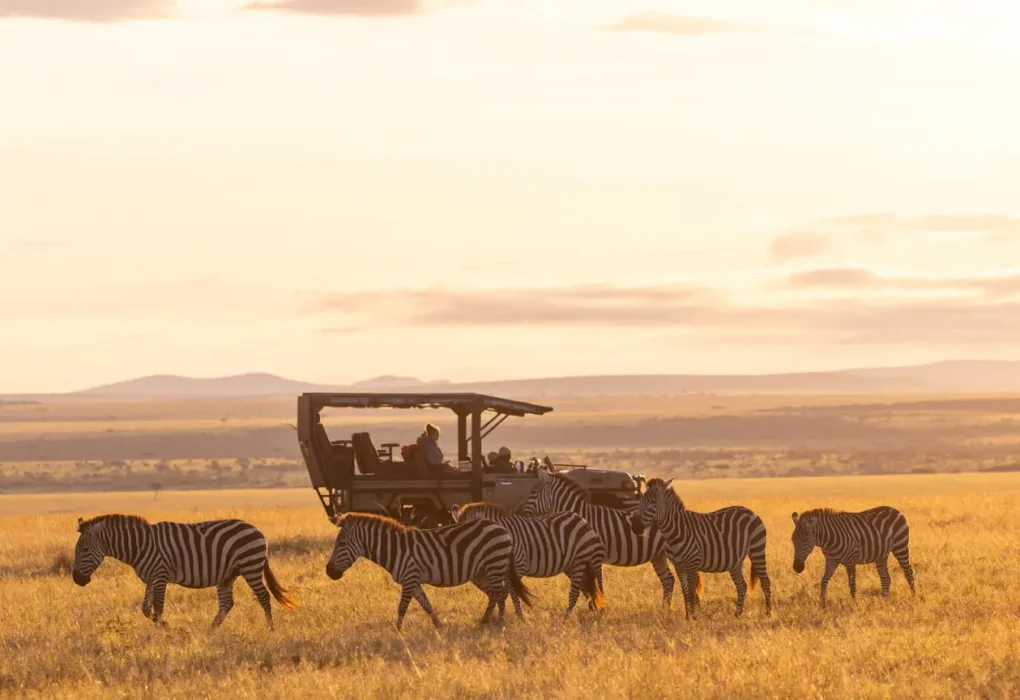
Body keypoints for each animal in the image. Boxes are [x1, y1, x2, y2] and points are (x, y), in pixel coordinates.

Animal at [72, 514, 296, 629]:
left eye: (84, 550)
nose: (76, 580)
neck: (140, 545)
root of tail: (256, 529)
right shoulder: (150, 579)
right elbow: (145, 609)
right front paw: (163, 626)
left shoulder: (160, 575)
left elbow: (158, 607)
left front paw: (164, 629)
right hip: (227, 575)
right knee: (227, 603)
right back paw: (210, 631)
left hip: (250, 566)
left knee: (264, 596)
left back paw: (270, 629)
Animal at [325, 512, 534, 630]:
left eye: (342, 544)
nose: (328, 572)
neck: (395, 549)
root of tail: (501, 528)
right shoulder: (414, 581)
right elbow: (426, 605)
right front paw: (439, 627)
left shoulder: (409, 578)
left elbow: (402, 607)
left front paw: (398, 632)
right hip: (481, 573)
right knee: (495, 594)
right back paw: (488, 621)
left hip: (494, 565)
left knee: (500, 593)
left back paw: (498, 622)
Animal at [450, 501, 606, 619]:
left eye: (469, 537)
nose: (461, 559)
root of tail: (580, 518)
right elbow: (510, 594)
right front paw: (516, 616)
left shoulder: (518, 567)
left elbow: (509, 593)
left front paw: (512, 617)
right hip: (571, 565)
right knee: (586, 587)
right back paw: (594, 610)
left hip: (580, 560)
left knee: (576, 592)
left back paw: (566, 619)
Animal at [515, 470, 694, 608]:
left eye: (533, 493)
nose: (519, 513)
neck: (581, 518)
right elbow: (585, 584)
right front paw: (593, 607)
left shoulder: (594, 556)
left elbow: (595, 583)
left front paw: (599, 607)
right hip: (658, 555)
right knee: (668, 580)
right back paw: (665, 609)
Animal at [630, 478, 772, 619]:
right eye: (640, 501)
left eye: (652, 502)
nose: (635, 526)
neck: (675, 532)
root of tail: (750, 511)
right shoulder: (678, 565)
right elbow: (685, 591)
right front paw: (688, 616)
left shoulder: (692, 563)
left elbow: (692, 591)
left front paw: (693, 616)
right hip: (735, 561)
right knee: (742, 585)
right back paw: (738, 614)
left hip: (757, 549)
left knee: (765, 581)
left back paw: (768, 613)